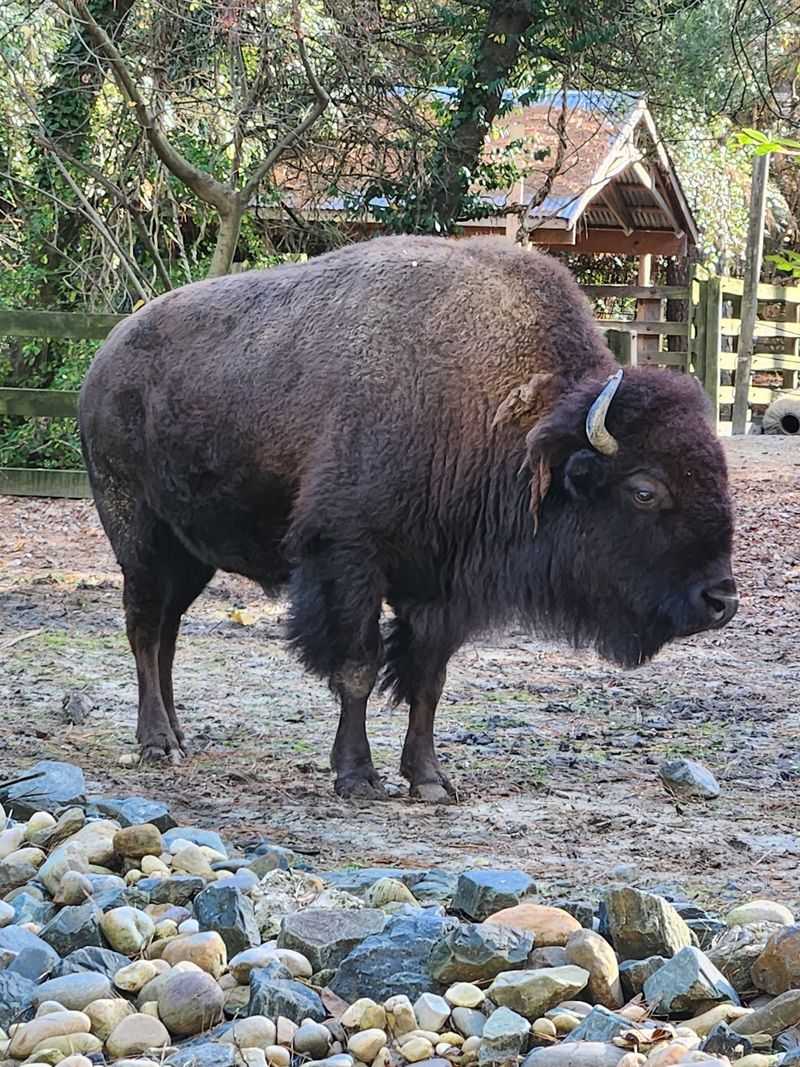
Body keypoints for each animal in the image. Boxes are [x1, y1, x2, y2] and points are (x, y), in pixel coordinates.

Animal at [79, 236, 738, 802]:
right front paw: (357, 776)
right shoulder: (348, 560)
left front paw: (430, 780)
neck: (506, 417)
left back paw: (176, 737)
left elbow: (428, 680)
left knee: (167, 632)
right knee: (145, 628)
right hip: (138, 537)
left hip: (189, 556)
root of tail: (104, 359)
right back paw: (157, 744)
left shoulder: (443, 588)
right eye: (645, 491)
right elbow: (358, 667)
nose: (720, 601)